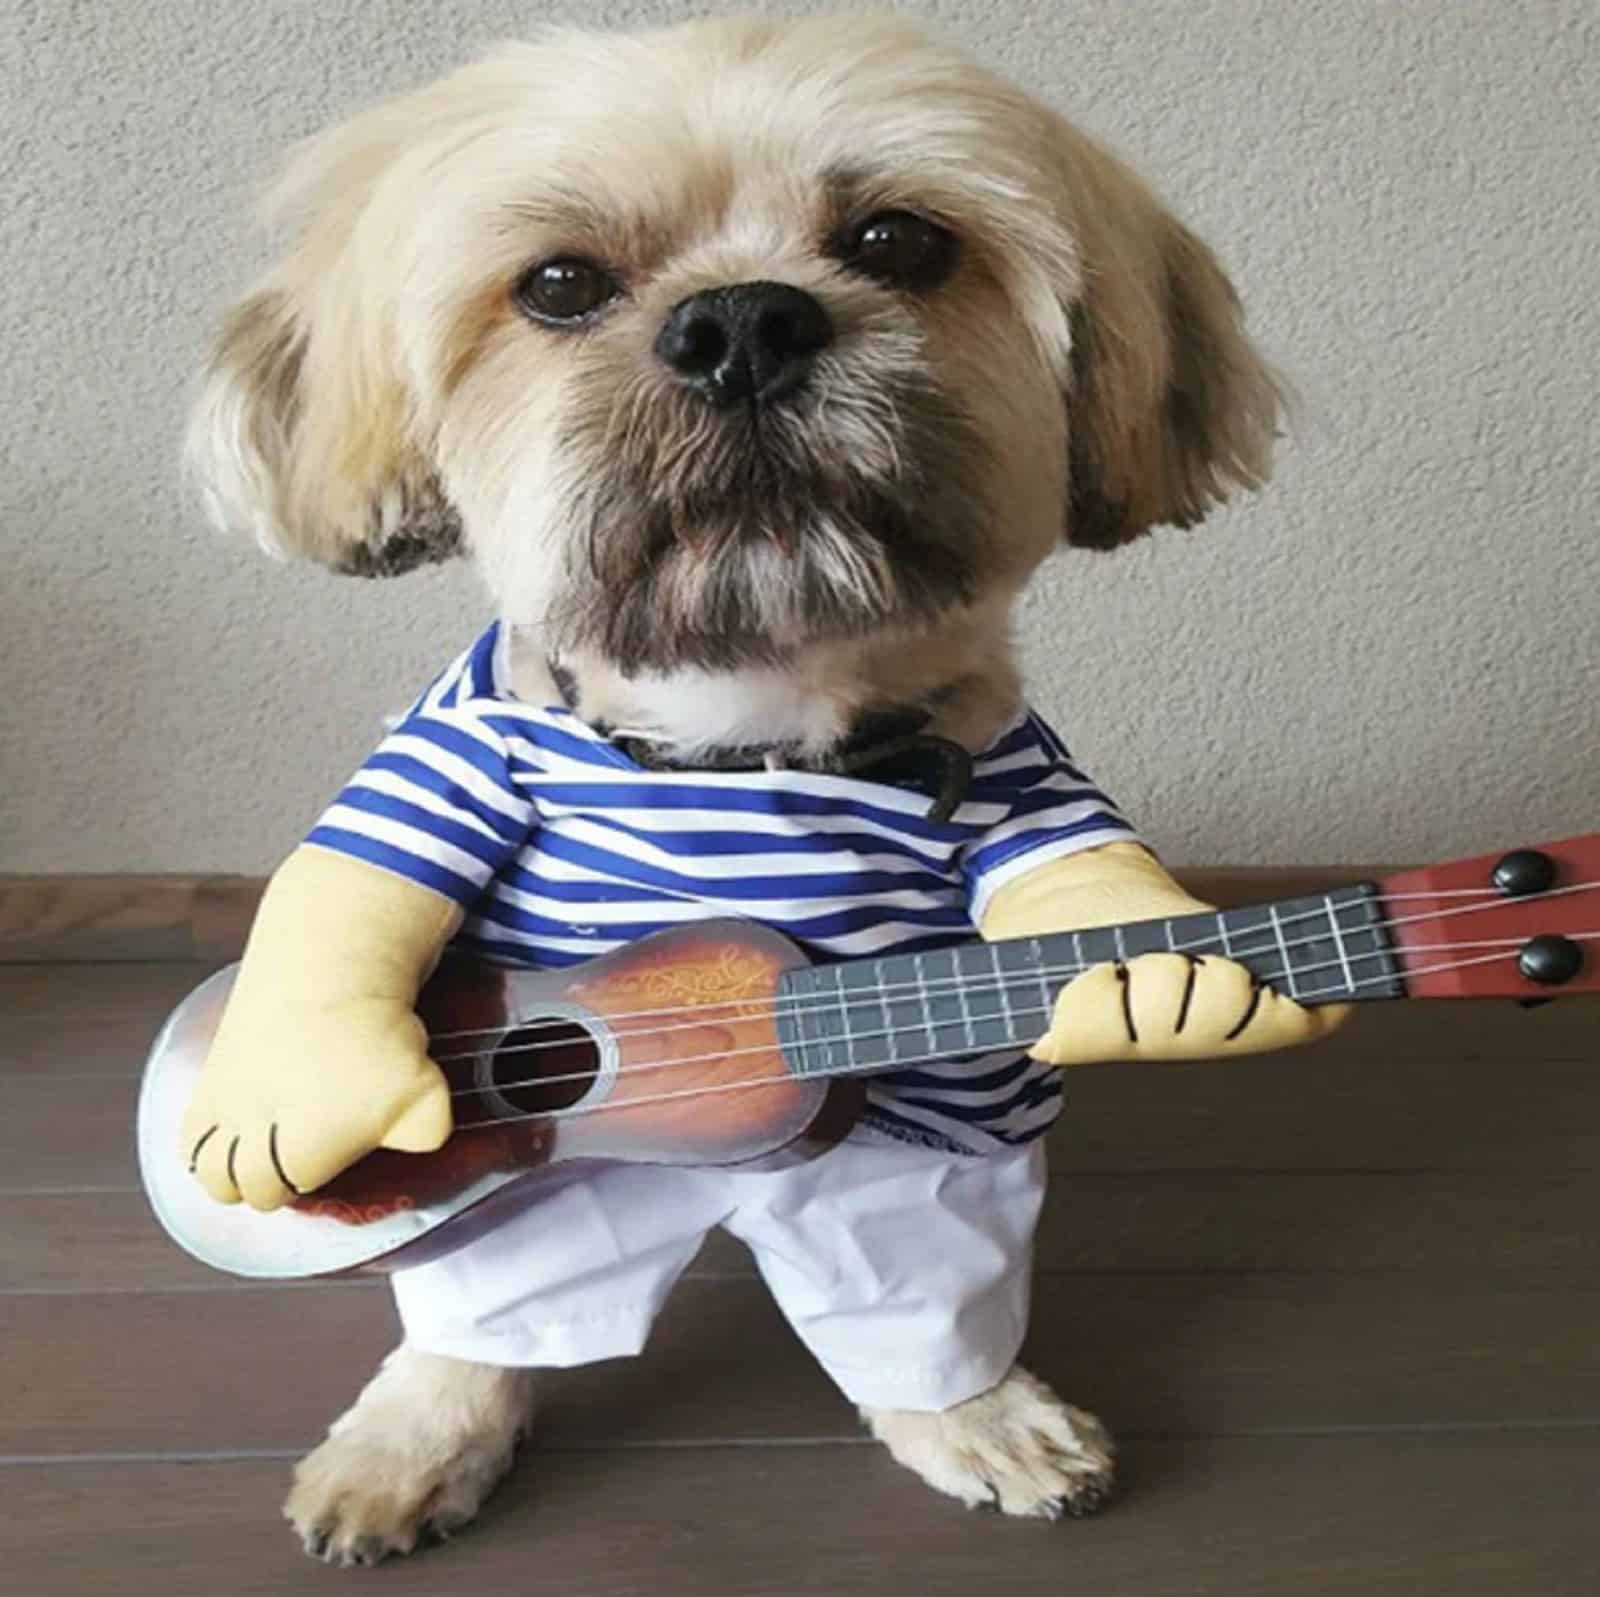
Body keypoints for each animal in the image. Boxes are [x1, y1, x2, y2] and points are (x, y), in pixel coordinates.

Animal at [190, 6, 1286, 1568]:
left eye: (898, 240)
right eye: (561, 284)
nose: (743, 325)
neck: (744, 721)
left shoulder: (1021, 786)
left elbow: (1079, 887)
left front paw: (1173, 986)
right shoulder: (461, 744)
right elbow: (356, 880)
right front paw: (294, 1083)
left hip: (911, 1187)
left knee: (908, 1290)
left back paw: (967, 1409)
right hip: (539, 1221)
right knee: (504, 1304)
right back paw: (422, 1427)